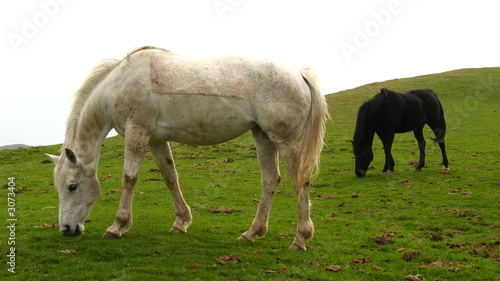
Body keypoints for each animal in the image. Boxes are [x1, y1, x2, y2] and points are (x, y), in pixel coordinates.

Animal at [46, 46, 328, 249]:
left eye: (72, 187)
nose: (66, 230)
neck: (119, 84)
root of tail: (298, 73)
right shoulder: (155, 140)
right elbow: (170, 176)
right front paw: (181, 222)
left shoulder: (137, 132)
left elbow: (129, 178)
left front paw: (117, 227)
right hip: (264, 138)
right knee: (270, 180)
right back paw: (251, 233)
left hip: (286, 141)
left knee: (299, 182)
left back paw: (300, 239)